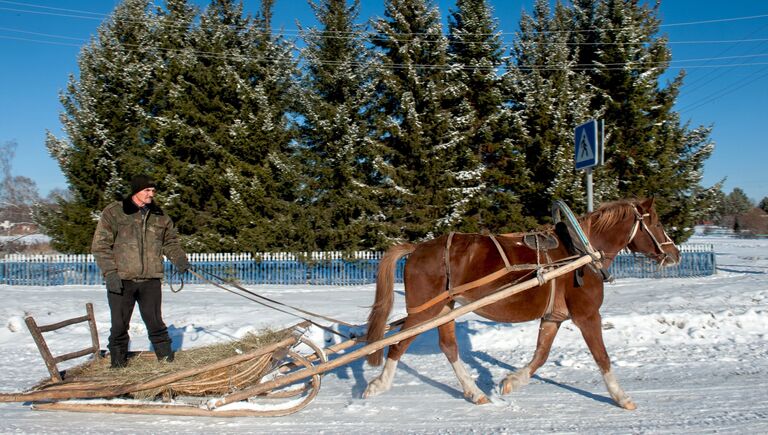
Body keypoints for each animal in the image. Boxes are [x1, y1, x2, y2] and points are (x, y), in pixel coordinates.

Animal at [362, 199, 680, 410]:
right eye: (657, 222)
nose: (674, 253)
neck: (582, 253)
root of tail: (417, 248)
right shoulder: (587, 315)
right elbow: (602, 357)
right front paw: (621, 397)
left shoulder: (553, 317)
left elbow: (541, 355)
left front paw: (512, 381)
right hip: (425, 310)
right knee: (397, 345)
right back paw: (378, 385)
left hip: (444, 310)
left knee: (449, 347)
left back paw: (474, 392)